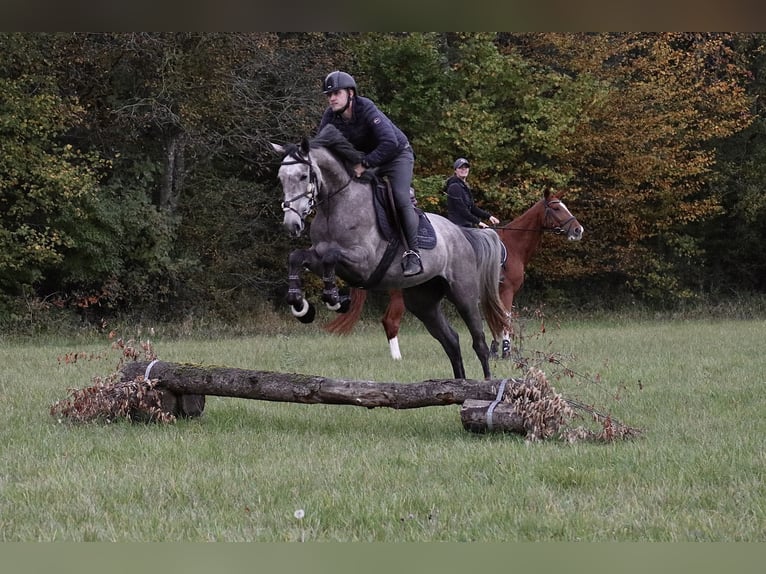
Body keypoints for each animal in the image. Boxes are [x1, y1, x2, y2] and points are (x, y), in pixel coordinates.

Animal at [272, 128, 510, 384]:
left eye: (303, 176)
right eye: (281, 177)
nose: (291, 225)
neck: (335, 206)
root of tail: (461, 233)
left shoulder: (364, 262)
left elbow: (331, 257)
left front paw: (335, 299)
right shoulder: (318, 255)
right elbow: (297, 257)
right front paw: (301, 305)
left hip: (463, 294)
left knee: (479, 342)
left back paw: (485, 383)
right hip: (423, 302)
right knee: (451, 341)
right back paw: (458, 383)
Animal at [328, 189, 584, 360]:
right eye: (557, 208)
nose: (578, 230)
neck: (513, 245)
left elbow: (495, 319)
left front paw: (494, 349)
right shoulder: (507, 290)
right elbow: (505, 318)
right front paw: (505, 351)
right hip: (403, 295)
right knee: (390, 321)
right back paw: (397, 359)